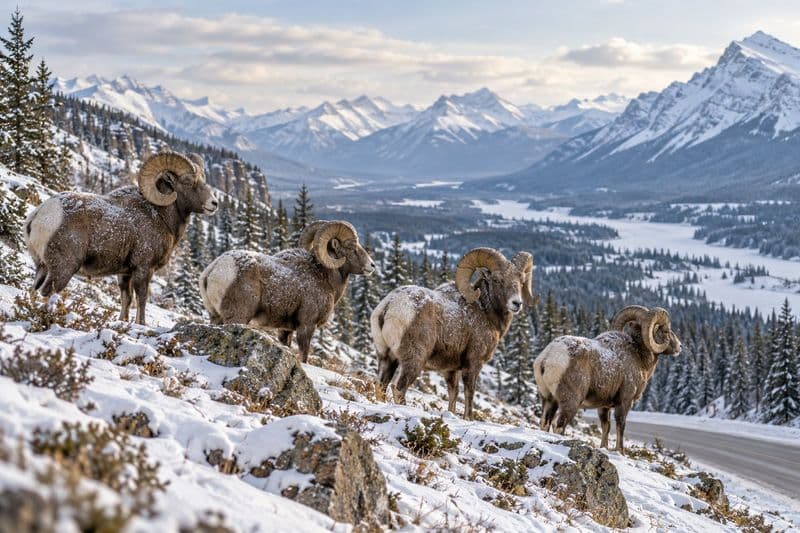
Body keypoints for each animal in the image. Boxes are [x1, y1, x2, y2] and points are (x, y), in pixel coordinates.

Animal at [24, 151, 218, 325]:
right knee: (46, 292)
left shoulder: (125, 274)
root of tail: (39, 214)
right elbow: (141, 299)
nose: (214, 203)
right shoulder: (143, 269)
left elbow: (127, 300)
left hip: (42, 267)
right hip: (63, 268)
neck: (160, 215)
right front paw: (141, 325)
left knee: (33, 290)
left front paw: (123, 322)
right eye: (188, 182)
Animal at [199, 220, 375, 363]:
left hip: (215, 317)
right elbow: (303, 356)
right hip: (238, 316)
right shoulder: (306, 325)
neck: (323, 277)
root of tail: (213, 270)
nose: (372, 266)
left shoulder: (285, 330)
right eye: (351, 247)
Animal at [371, 247, 535, 419]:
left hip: (387, 358)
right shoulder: (473, 363)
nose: (517, 303)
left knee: (381, 385)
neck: (484, 310)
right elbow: (469, 392)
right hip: (414, 360)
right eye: (496, 280)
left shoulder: (450, 369)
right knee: (399, 388)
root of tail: (388, 306)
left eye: (521, 280)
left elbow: (453, 393)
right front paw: (468, 418)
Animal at [533, 305, 682, 453]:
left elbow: (606, 427)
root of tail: (547, 358)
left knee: (545, 423)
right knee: (559, 426)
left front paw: (604, 448)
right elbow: (620, 426)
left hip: (549, 399)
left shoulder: (604, 406)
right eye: (666, 331)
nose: (680, 347)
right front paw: (620, 452)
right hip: (570, 402)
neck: (638, 356)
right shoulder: (624, 401)